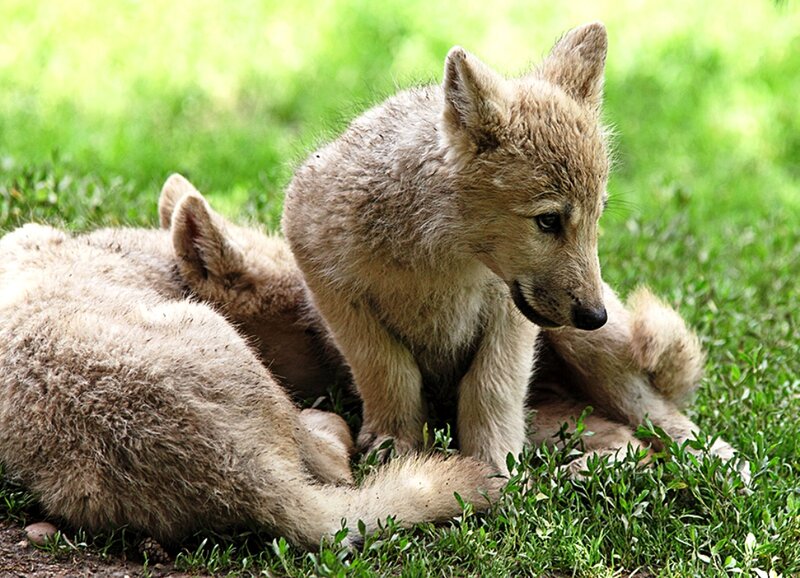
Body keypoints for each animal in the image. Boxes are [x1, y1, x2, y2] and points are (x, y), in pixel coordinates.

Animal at [283, 22, 743, 474]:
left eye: (597, 218)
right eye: (549, 221)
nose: (594, 316)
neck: (440, 260)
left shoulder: (509, 319)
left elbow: (490, 390)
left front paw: (493, 468)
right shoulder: (335, 293)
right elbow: (389, 373)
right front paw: (396, 442)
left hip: (587, 346)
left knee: (652, 412)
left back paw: (717, 459)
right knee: (627, 439)